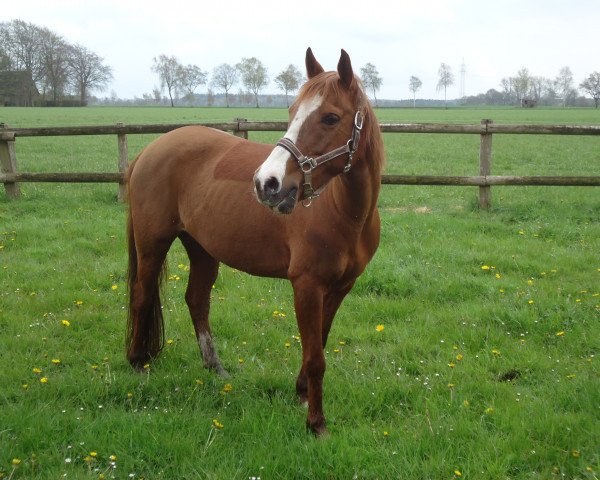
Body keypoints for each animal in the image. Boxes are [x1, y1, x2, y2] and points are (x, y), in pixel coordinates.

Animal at [125, 48, 384, 436]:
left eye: (330, 117)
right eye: (291, 112)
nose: (268, 183)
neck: (345, 212)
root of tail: (151, 149)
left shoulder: (340, 288)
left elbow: (319, 344)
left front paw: (302, 393)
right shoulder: (306, 286)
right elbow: (316, 356)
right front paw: (316, 424)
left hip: (202, 249)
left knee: (197, 300)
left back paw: (215, 368)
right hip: (152, 244)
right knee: (142, 295)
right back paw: (139, 364)